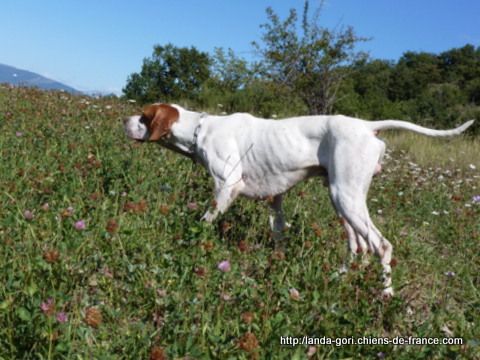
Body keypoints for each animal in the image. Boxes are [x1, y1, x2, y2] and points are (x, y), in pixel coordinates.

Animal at [124, 103, 472, 296]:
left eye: (143, 116)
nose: (123, 121)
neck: (201, 129)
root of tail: (365, 126)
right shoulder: (275, 199)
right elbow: (278, 234)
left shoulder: (227, 187)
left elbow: (205, 221)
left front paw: (190, 242)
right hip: (342, 198)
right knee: (358, 246)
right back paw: (340, 277)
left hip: (345, 196)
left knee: (381, 246)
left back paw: (386, 294)